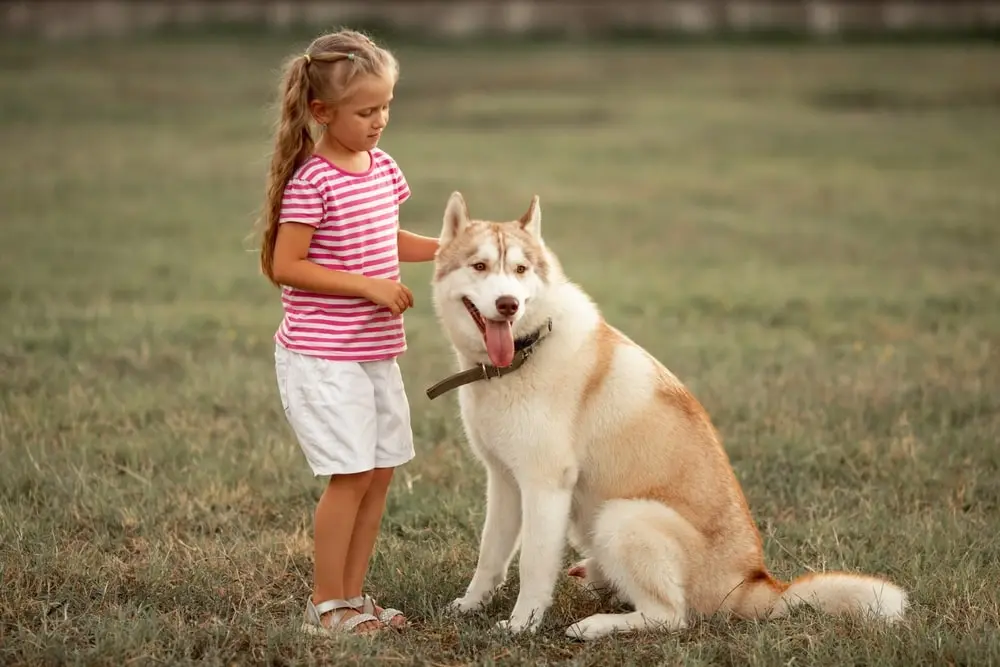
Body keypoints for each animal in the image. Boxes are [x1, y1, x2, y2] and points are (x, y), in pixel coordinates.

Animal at [424, 193, 908, 640]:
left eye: (521, 270)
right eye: (480, 266)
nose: (508, 304)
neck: (527, 350)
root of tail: (757, 584)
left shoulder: (546, 485)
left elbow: (533, 566)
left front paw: (521, 626)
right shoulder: (504, 480)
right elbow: (491, 554)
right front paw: (470, 606)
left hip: (622, 517)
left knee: (670, 617)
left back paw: (594, 625)